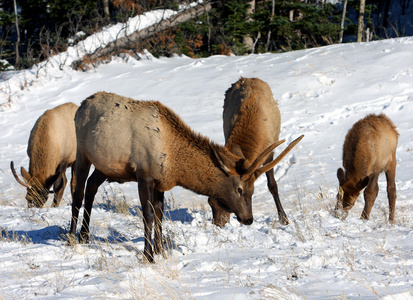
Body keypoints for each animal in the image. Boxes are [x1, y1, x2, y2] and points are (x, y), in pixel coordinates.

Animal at [208, 77, 300, 227]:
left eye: (239, 191)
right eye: (210, 200)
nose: (219, 223)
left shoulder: (269, 153)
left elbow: (272, 185)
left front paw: (284, 218)